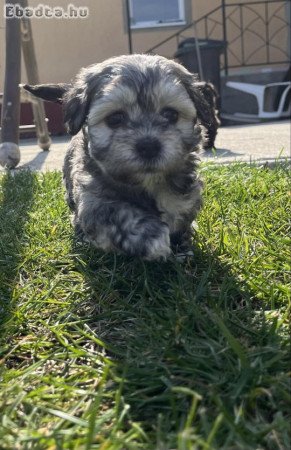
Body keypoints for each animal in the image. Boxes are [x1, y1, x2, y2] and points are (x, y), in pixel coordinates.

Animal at [23, 54, 214, 260]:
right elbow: (117, 212)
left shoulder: (185, 197)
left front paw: (182, 247)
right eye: (115, 118)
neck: (147, 184)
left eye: (171, 114)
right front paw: (149, 236)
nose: (148, 146)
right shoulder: (92, 200)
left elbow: (179, 215)